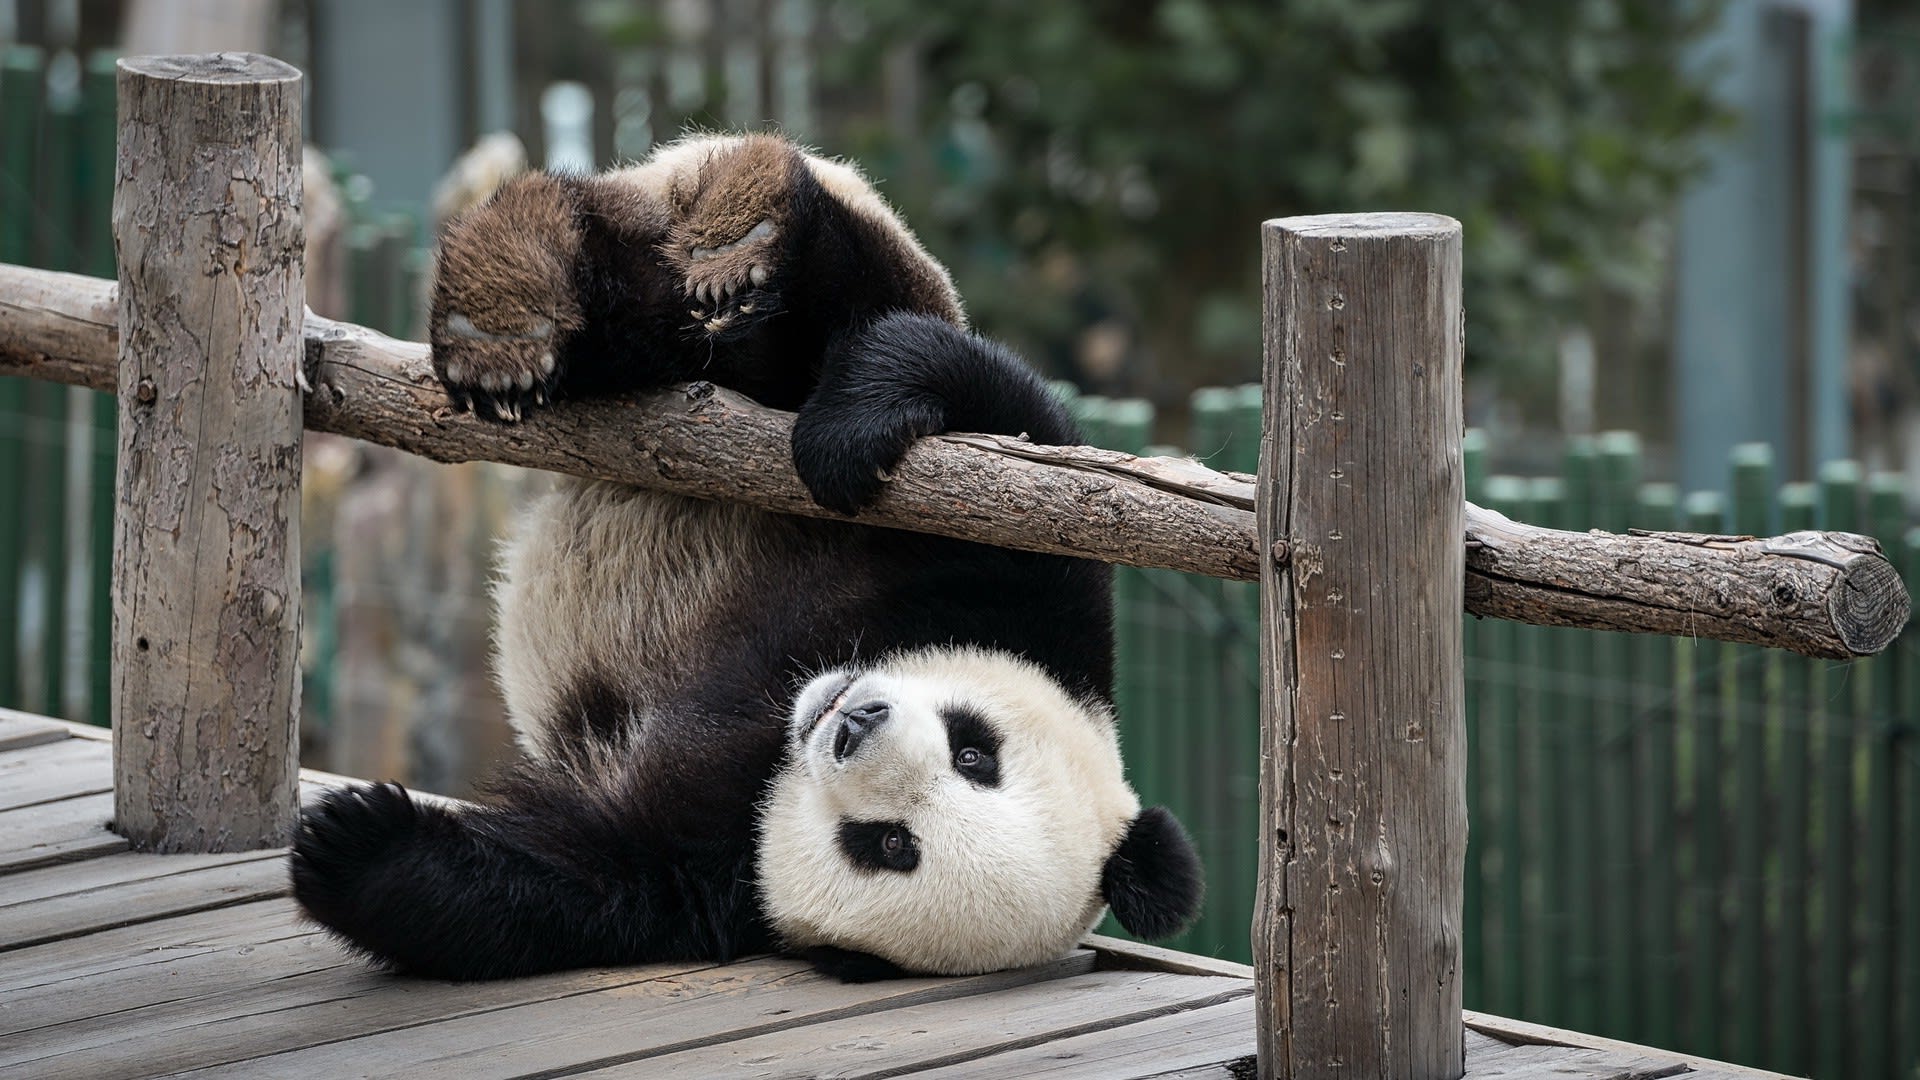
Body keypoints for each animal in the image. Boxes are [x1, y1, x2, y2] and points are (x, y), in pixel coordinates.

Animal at [290, 133, 1203, 983]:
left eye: (889, 845)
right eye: (975, 751)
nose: (854, 723)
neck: (781, 721)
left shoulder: (714, 875)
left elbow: (570, 883)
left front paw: (351, 845)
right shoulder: (1038, 593)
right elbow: (1000, 416)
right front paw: (846, 437)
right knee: (797, 304)